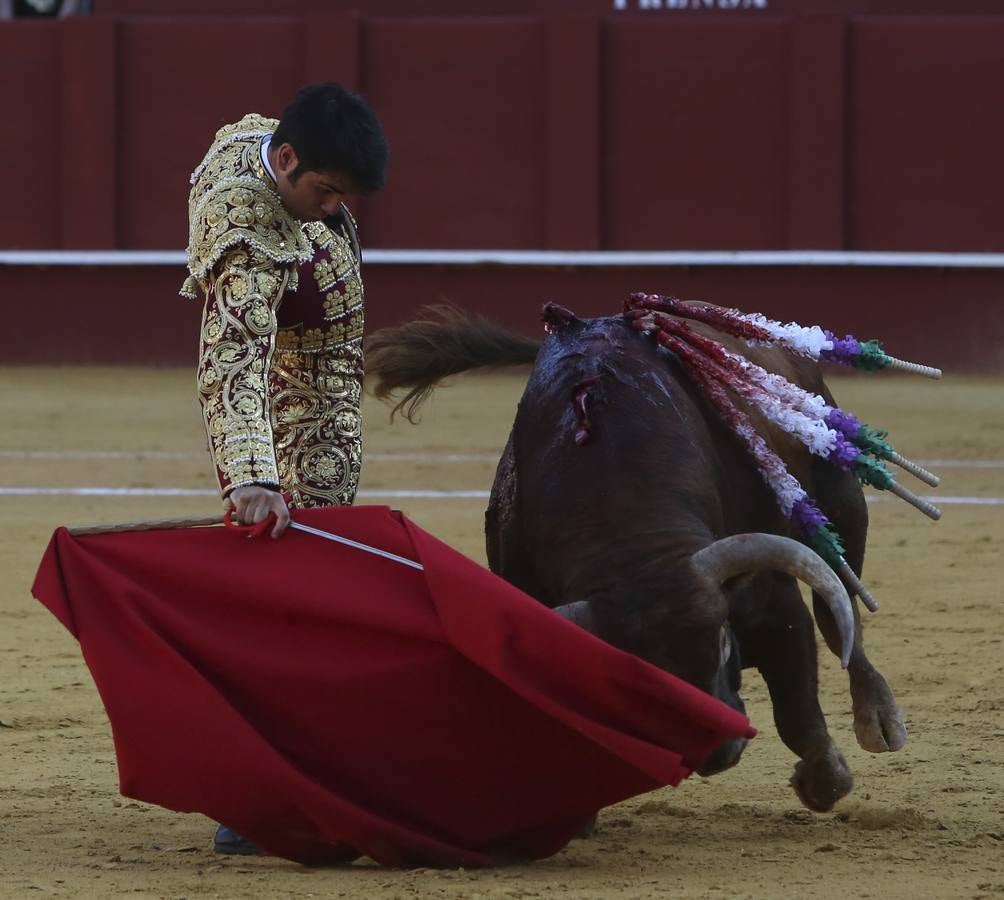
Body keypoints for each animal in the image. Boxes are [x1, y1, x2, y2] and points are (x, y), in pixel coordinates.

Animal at [365, 305, 907, 811]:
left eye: (723, 643)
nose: (718, 753)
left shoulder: (772, 603)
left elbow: (797, 708)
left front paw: (823, 783)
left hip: (839, 498)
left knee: (842, 607)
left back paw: (879, 719)